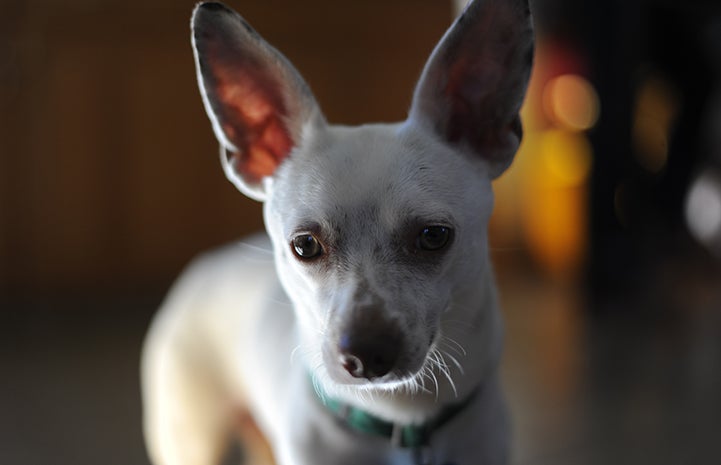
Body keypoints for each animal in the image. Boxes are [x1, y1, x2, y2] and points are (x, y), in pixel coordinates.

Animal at [142, 1, 536, 462]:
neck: (401, 424)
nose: (367, 354)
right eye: (304, 245)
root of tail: (208, 262)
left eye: (434, 236)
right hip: (191, 438)